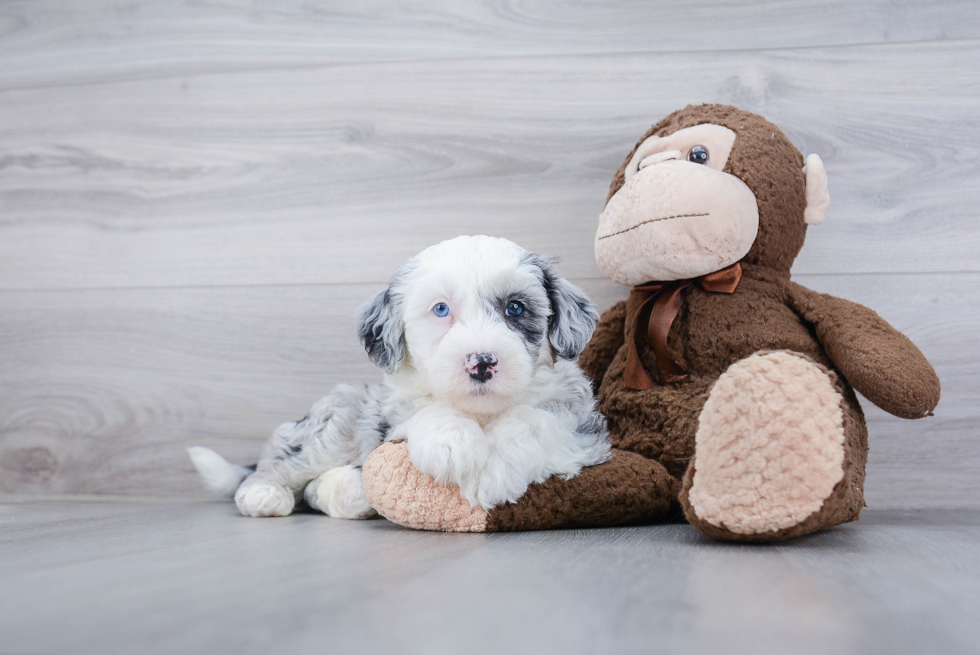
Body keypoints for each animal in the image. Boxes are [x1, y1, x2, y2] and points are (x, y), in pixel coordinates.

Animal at [188, 236, 608, 516]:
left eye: (516, 308)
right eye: (440, 309)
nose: (482, 362)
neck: (481, 412)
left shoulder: (580, 422)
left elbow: (532, 421)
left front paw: (492, 471)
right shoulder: (391, 414)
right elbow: (426, 411)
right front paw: (451, 444)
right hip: (334, 423)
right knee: (284, 461)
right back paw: (264, 494)